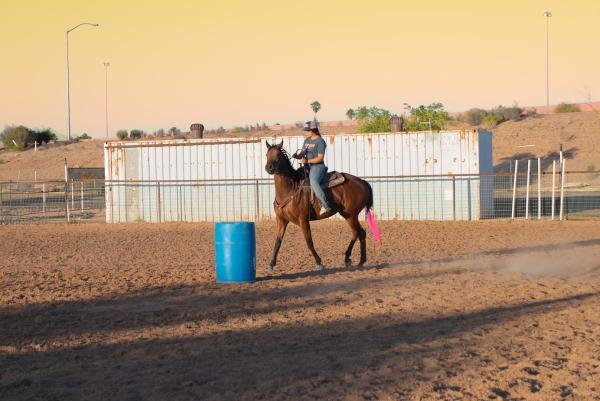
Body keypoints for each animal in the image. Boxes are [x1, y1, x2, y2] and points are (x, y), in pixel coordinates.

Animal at [264, 139, 382, 274]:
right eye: (267, 154)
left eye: (278, 155)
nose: (269, 168)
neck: (290, 189)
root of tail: (362, 181)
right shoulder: (281, 220)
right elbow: (277, 242)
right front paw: (271, 264)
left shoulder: (303, 219)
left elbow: (309, 241)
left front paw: (319, 263)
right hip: (348, 215)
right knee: (359, 233)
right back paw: (357, 260)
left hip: (351, 215)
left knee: (358, 233)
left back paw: (353, 259)